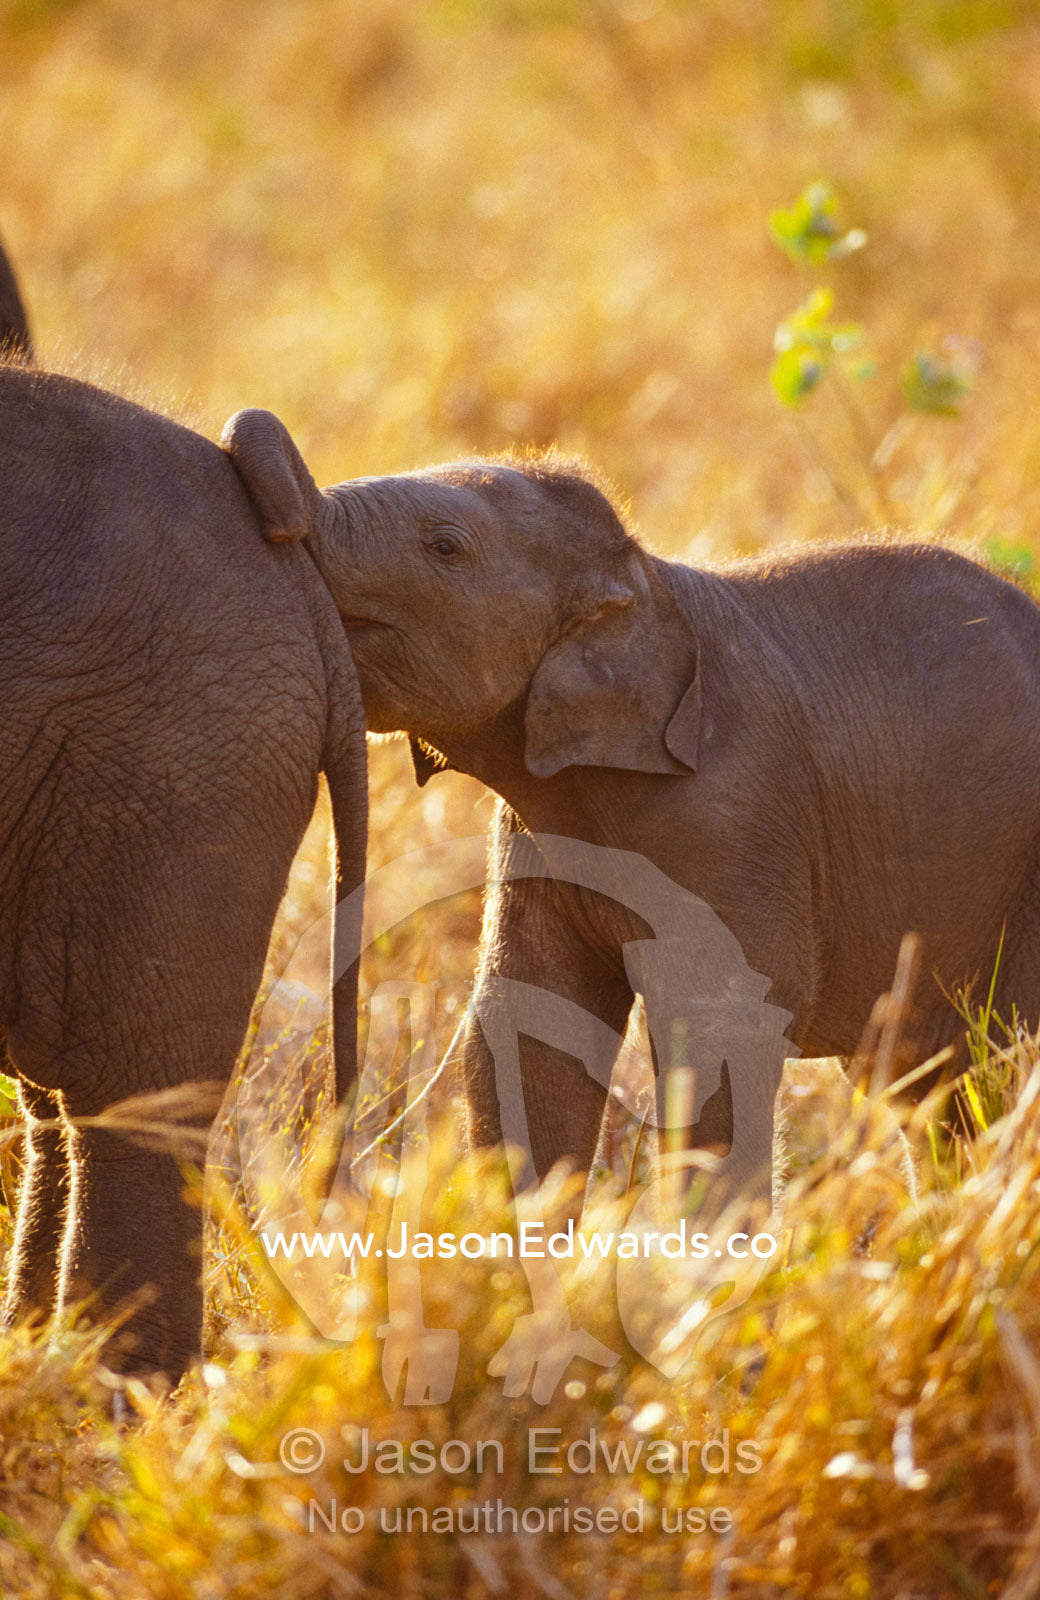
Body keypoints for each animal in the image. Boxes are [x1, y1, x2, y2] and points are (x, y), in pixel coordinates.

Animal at [223, 408, 1040, 1212]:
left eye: (444, 547)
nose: (334, 1180)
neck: (646, 576)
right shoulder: (536, 832)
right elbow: (526, 1025)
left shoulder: (732, 814)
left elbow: (723, 1027)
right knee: (933, 1090)